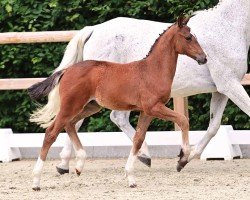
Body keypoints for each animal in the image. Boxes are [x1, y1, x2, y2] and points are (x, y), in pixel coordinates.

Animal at [28, 16, 207, 190]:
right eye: (188, 37)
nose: (203, 58)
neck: (152, 70)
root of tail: (67, 71)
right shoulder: (154, 107)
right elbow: (183, 120)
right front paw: (182, 159)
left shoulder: (147, 112)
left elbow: (138, 139)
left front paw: (131, 178)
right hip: (71, 106)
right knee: (51, 133)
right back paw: (36, 182)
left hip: (90, 107)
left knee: (70, 124)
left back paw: (79, 165)